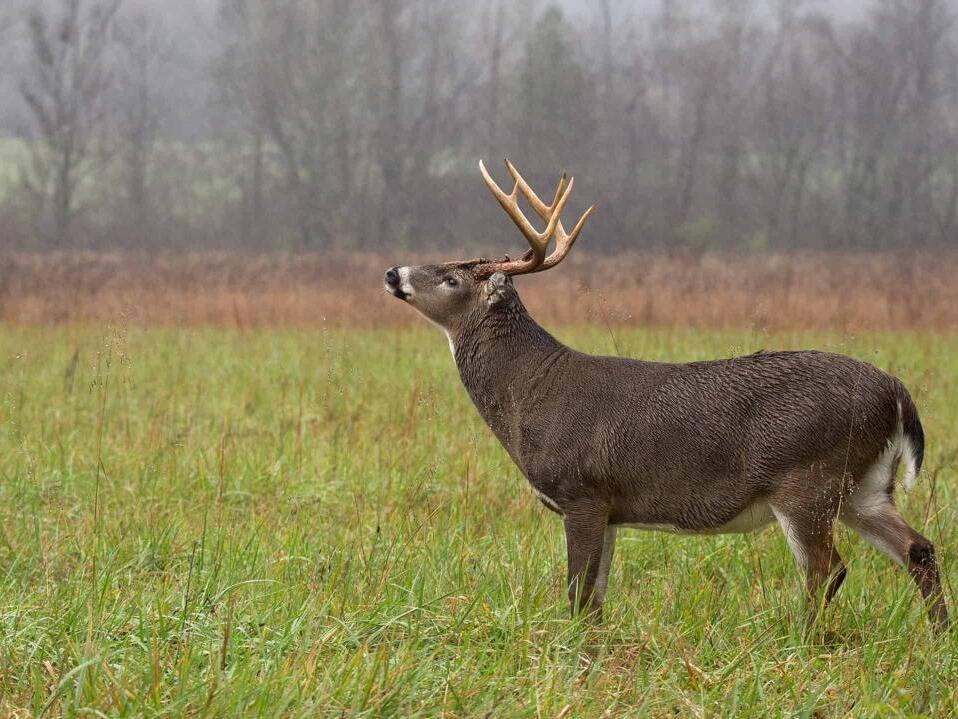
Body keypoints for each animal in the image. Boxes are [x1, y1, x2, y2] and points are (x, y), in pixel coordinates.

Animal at [383, 160, 948, 631]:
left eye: (451, 278)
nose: (392, 272)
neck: (530, 391)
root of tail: (897, 393)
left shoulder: (581, 489)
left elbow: (578, 595)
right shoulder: (609, 507)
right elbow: (596, 598)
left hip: (808, 476)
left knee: (828, 570)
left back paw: (804, 642)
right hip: (864, 485)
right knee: (919, 549)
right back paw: (936, 638)